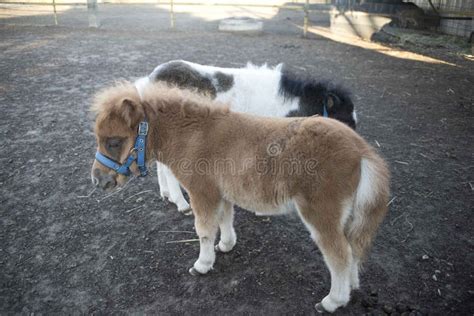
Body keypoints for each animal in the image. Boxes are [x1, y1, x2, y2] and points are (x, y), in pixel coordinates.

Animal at [90, 82, 390, 314]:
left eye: (114, 141)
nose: (97, 179)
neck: (192, 135)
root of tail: (361, 150)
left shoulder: (202, 192)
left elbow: (204, 230)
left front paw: (202, 264)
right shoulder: (221, 192)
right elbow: (225, 220)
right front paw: (226, 246)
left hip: (321, 214)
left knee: (339, 254)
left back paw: (332, 301)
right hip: (348, 215)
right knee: (352, 248)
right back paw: (351, 287)